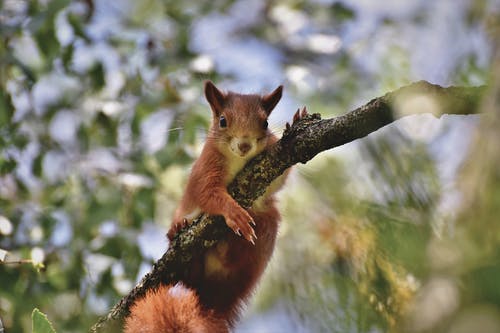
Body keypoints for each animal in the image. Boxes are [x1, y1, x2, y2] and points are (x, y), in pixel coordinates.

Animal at [125, 81, 304, 330]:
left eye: (265, 123)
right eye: (222, 121)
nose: (244, 145)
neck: (238, 159)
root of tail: (214, 300)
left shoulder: (270, 165)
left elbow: (280, 179)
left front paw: (300, 118)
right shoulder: (206, 168)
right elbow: (208, 194)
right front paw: (233, 212)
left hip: (266, 224)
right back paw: (178, 230)